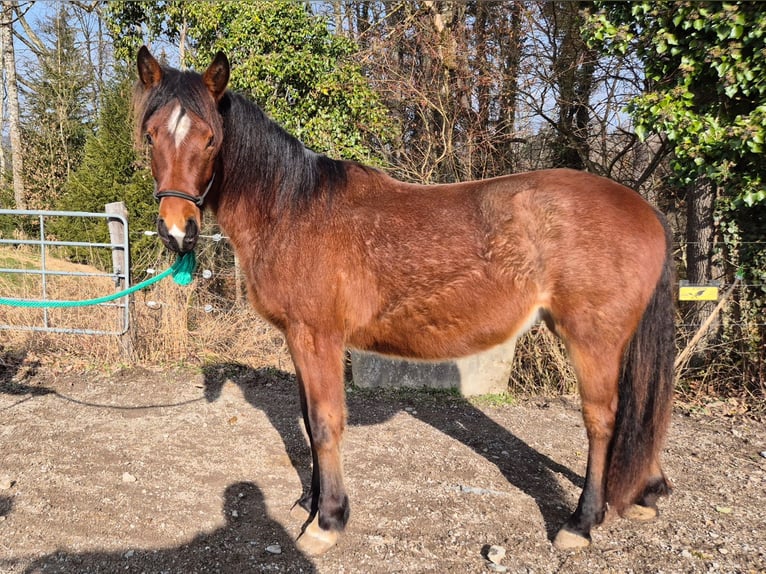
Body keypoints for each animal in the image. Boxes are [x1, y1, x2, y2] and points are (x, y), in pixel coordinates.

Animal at [135, 49, 676, 560]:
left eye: (210, 139)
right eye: (152, 136)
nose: (177, 230)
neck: (291, 209)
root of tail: (645, 210)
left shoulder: (318, 337)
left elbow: (326, 424)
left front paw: (328, 521)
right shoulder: (298, 338)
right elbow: (309, 421)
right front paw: (311, 503)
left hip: (592, 340)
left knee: (603, 420)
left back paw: (580, 523)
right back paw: (646, 494)